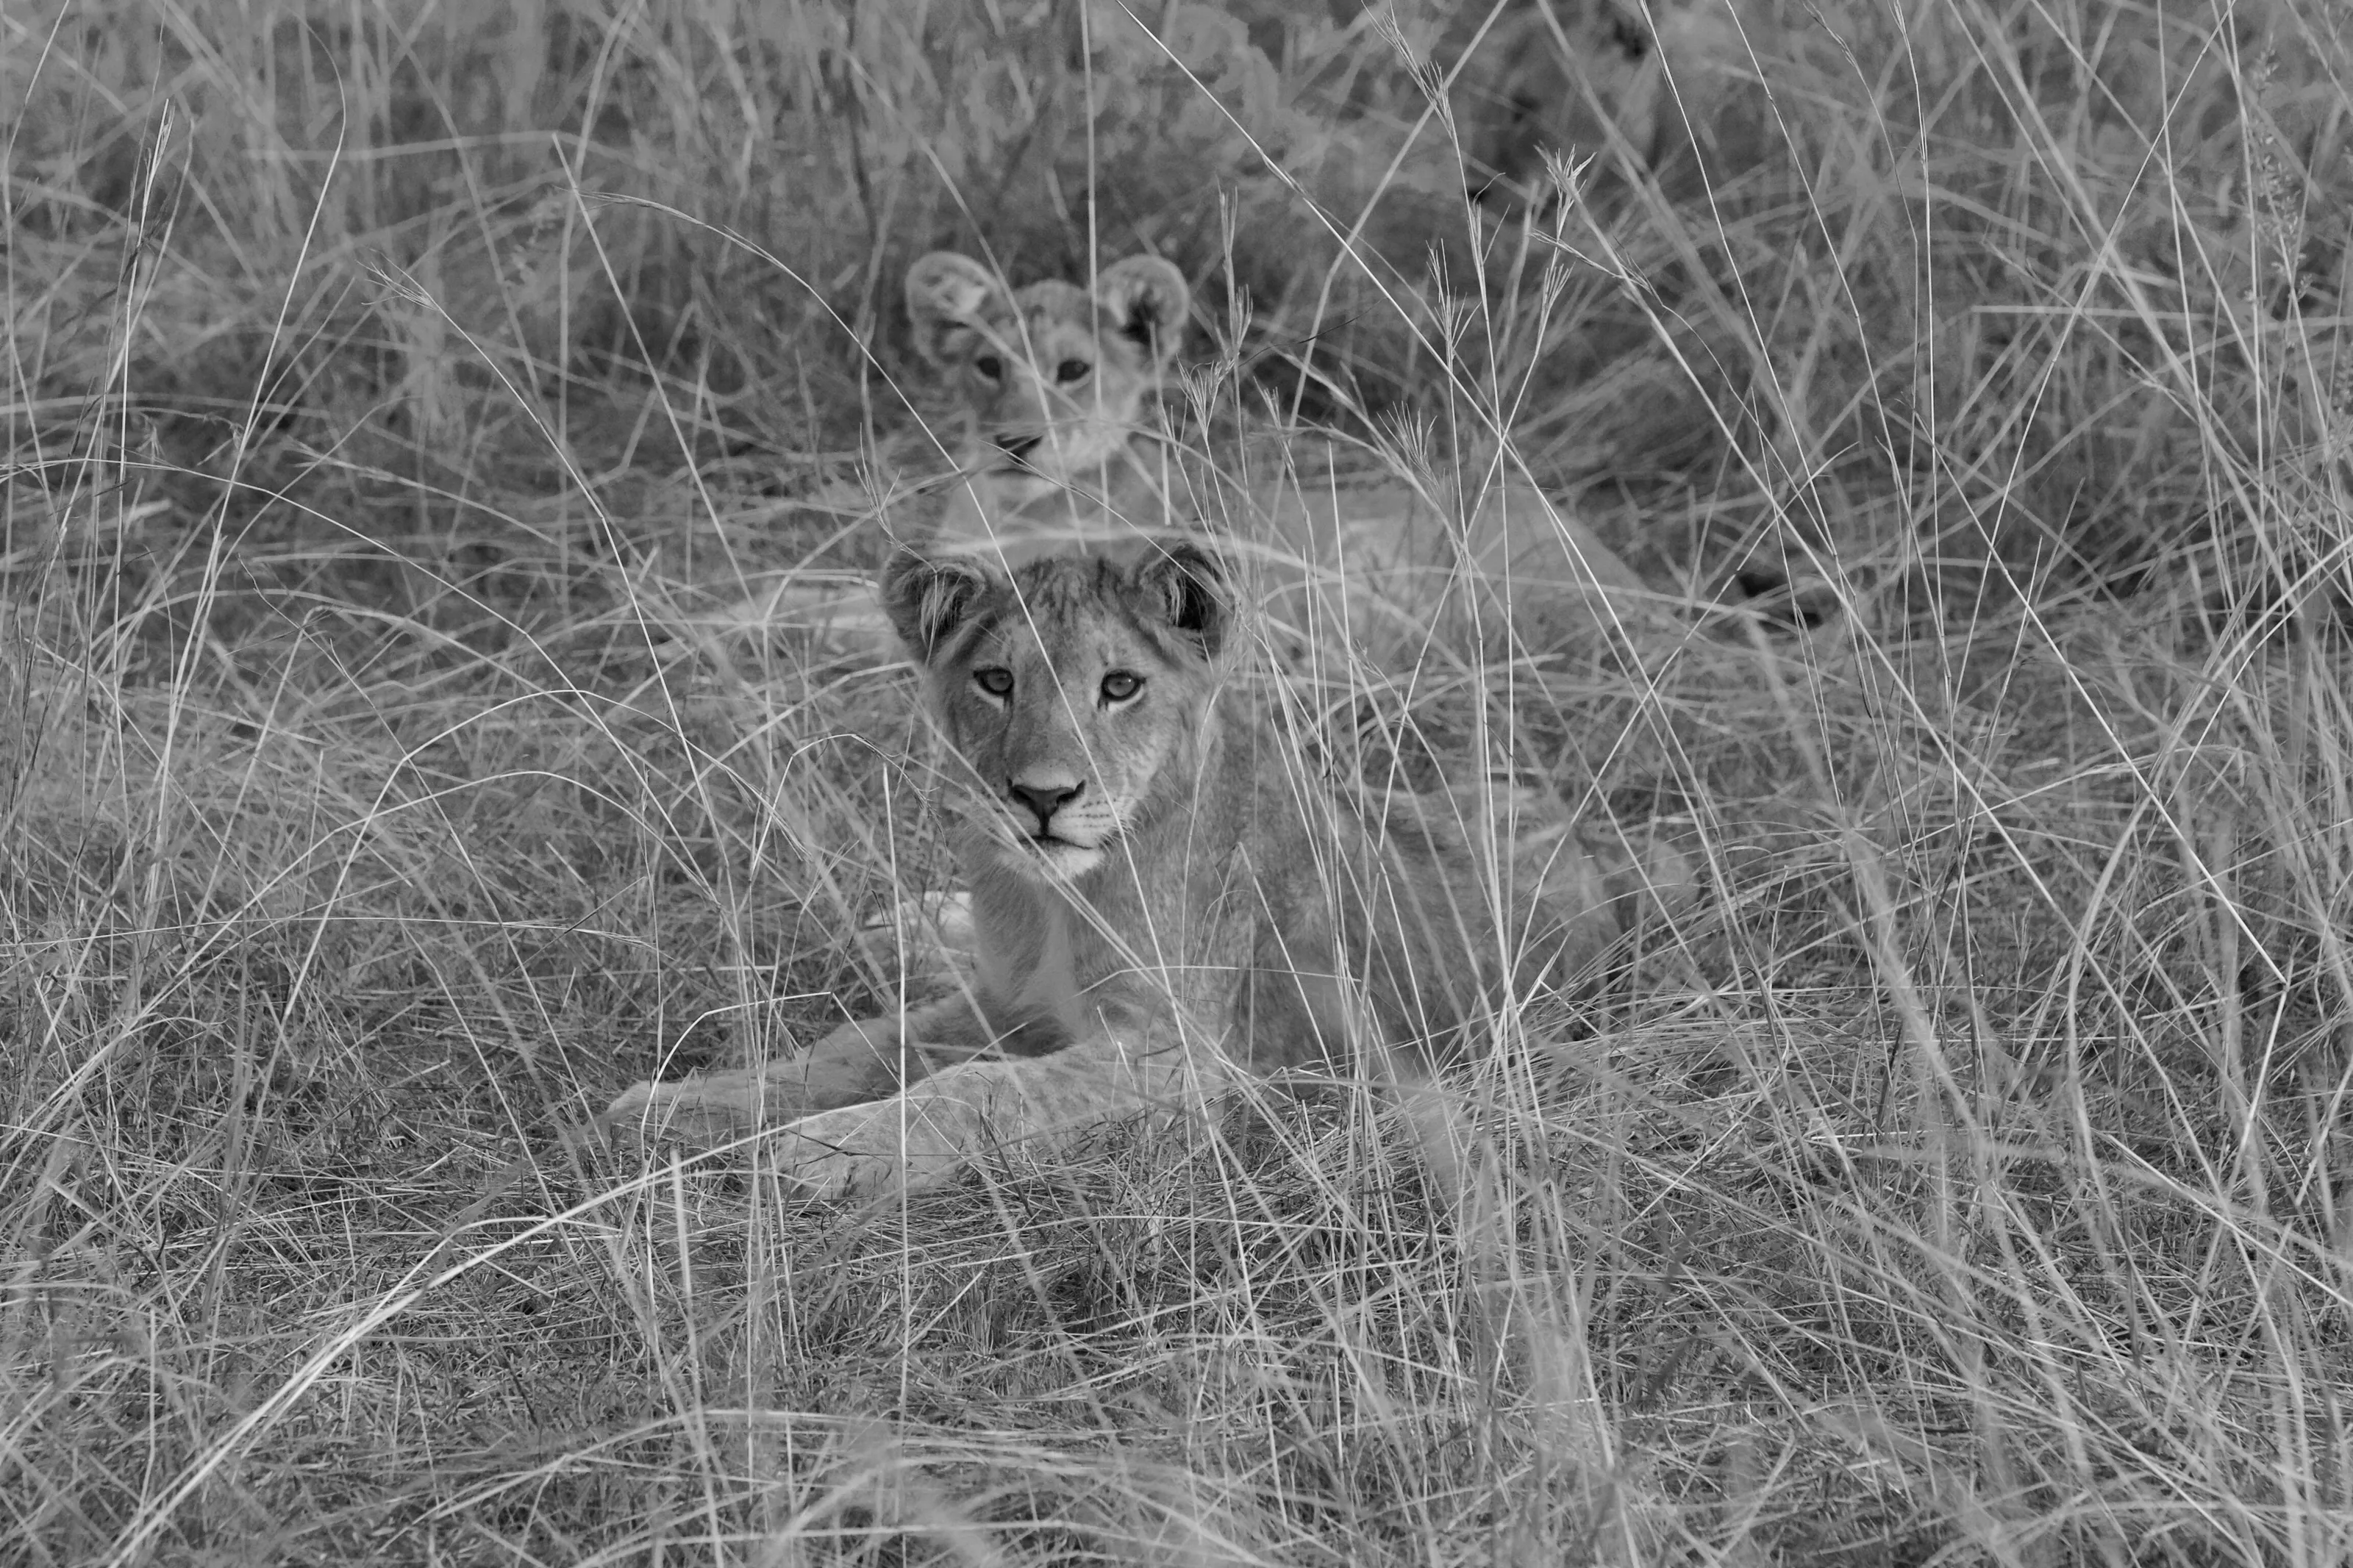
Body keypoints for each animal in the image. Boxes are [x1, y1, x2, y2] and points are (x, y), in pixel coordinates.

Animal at [605, 541, 1682, 1197]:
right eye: (995, 680)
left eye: (1119, 686)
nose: (1040, 797)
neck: (1054, 897)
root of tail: (1603, 845)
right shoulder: (1014, 998)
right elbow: (857, 1049)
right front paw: (678, 1108)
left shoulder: (1180, 1057)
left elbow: (981, 1090)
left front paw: (824, 1151)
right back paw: (912, 917)